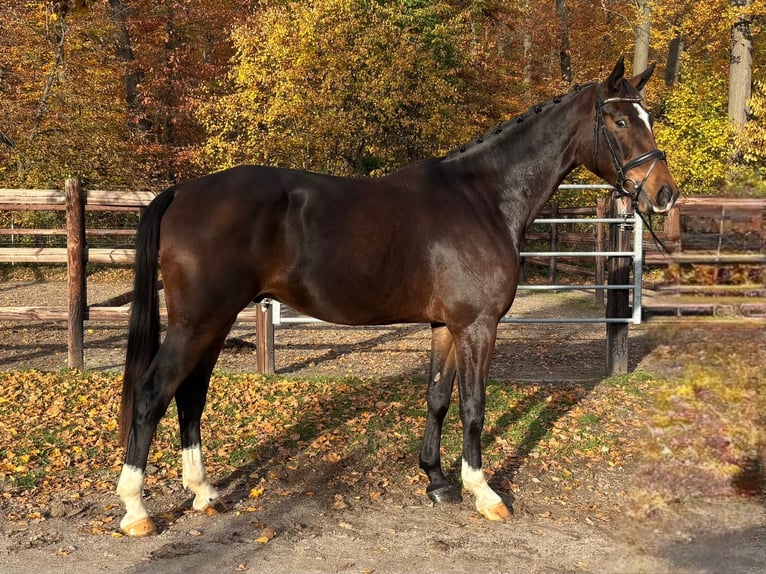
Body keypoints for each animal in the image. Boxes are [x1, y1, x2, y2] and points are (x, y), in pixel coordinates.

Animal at [116, 58, 679, 536]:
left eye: (648, 116)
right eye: (621, 121)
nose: (665, 194)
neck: (484, 198)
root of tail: (182, 191)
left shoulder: (446, 326)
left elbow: (438, 397)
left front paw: (436, 480)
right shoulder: (478, 325)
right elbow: (473, 405)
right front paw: (483, 492)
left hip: (213, 323)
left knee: (190, 396)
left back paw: (204, 493)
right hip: (197, 323)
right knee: (153, 393)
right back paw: (137, 510)